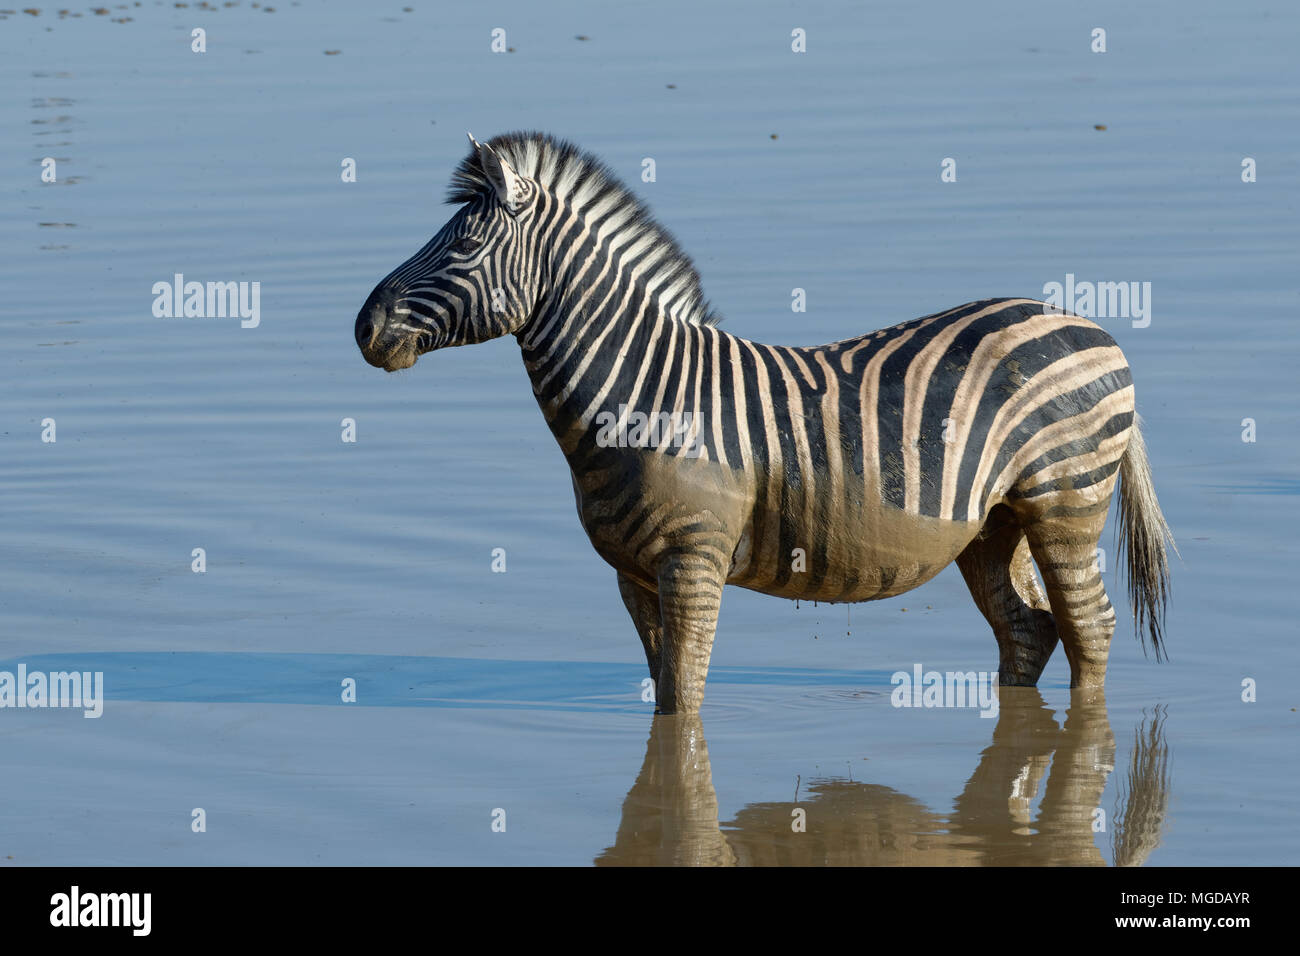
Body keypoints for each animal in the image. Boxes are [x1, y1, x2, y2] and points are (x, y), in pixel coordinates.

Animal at [356, 134, 1180, 717]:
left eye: (463, 244)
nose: (364, 326)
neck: (639, 391)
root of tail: (1088, 325)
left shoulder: (692, 560)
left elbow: (682, 705)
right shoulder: (633, 574)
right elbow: (664, 692)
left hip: (1065, 499)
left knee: (1090, 627)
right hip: (992, 523)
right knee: (1029, 628)